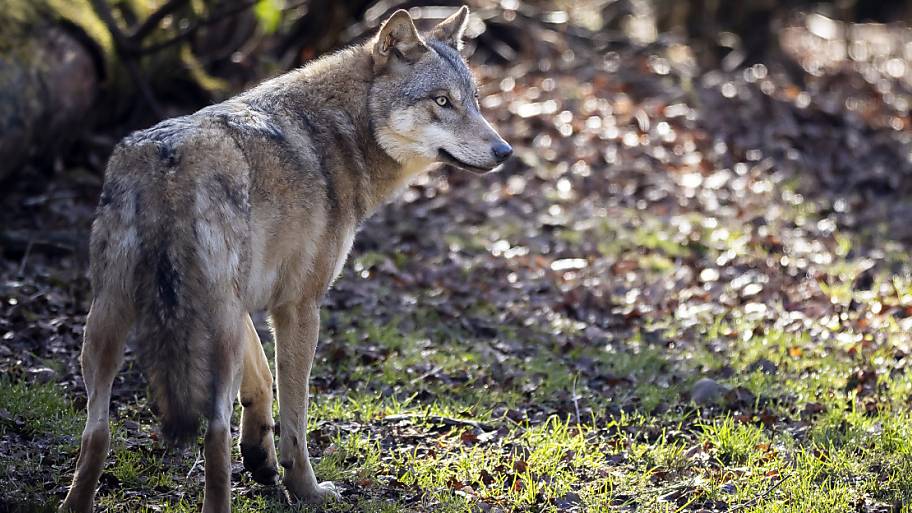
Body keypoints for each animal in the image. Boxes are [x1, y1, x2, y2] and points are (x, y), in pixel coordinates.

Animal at [59, 7, 510, 512]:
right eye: (442, 101)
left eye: (474, 101)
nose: (504, 151)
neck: (340, 132)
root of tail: (170, 160)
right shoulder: (299, 306)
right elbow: (296, 417)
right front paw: (306, 488)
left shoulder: (247, 302)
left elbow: (262, 379)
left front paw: (260, 455)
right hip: (203, 329)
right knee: (213, 431)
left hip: (112, 319)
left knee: (97, 432)